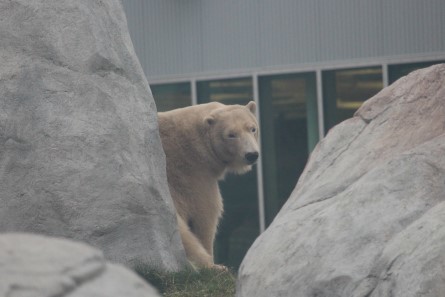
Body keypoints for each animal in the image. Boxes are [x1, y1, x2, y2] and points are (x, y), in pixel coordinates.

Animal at [157, 101, 258, 268]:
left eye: (252, 128)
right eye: (231, 134)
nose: (251, 155)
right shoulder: (193, 175)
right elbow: (206, 213)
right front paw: (213, 262)